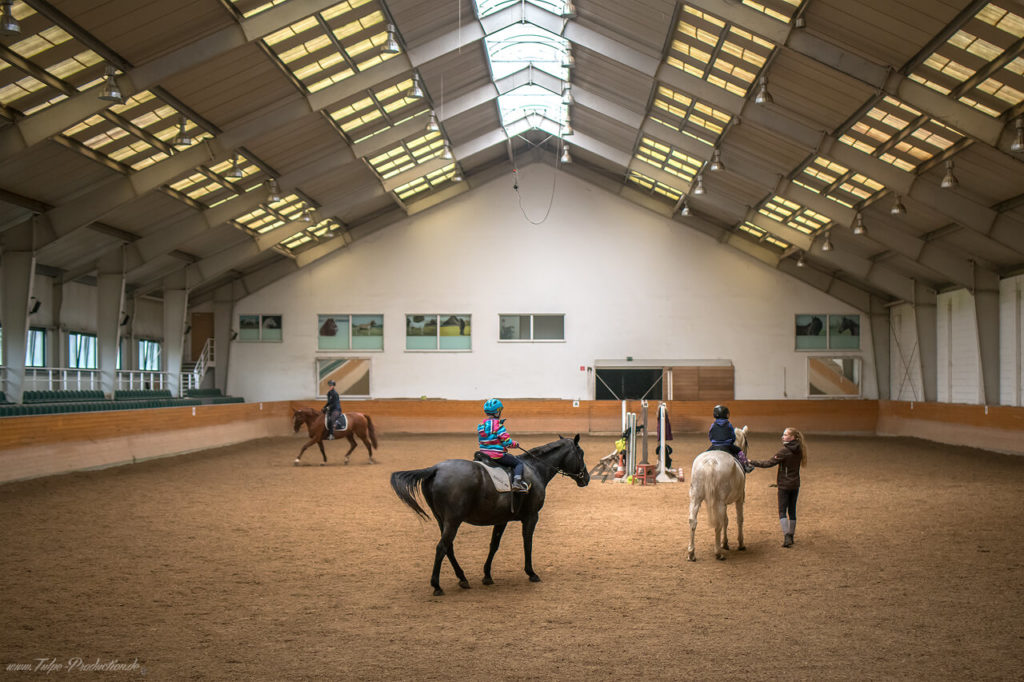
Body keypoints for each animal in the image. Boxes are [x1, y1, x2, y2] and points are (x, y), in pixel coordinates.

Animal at [688, 421, 753, 561]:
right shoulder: (740, 498)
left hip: (696, 498)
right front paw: (740, 544)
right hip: (719, 501)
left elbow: (726, 520)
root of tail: (710, 461)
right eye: (746, 443)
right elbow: (739, 519)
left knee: (692, 521)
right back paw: (718, 553)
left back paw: (691, 553)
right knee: (718, 522)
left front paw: (725, 543)